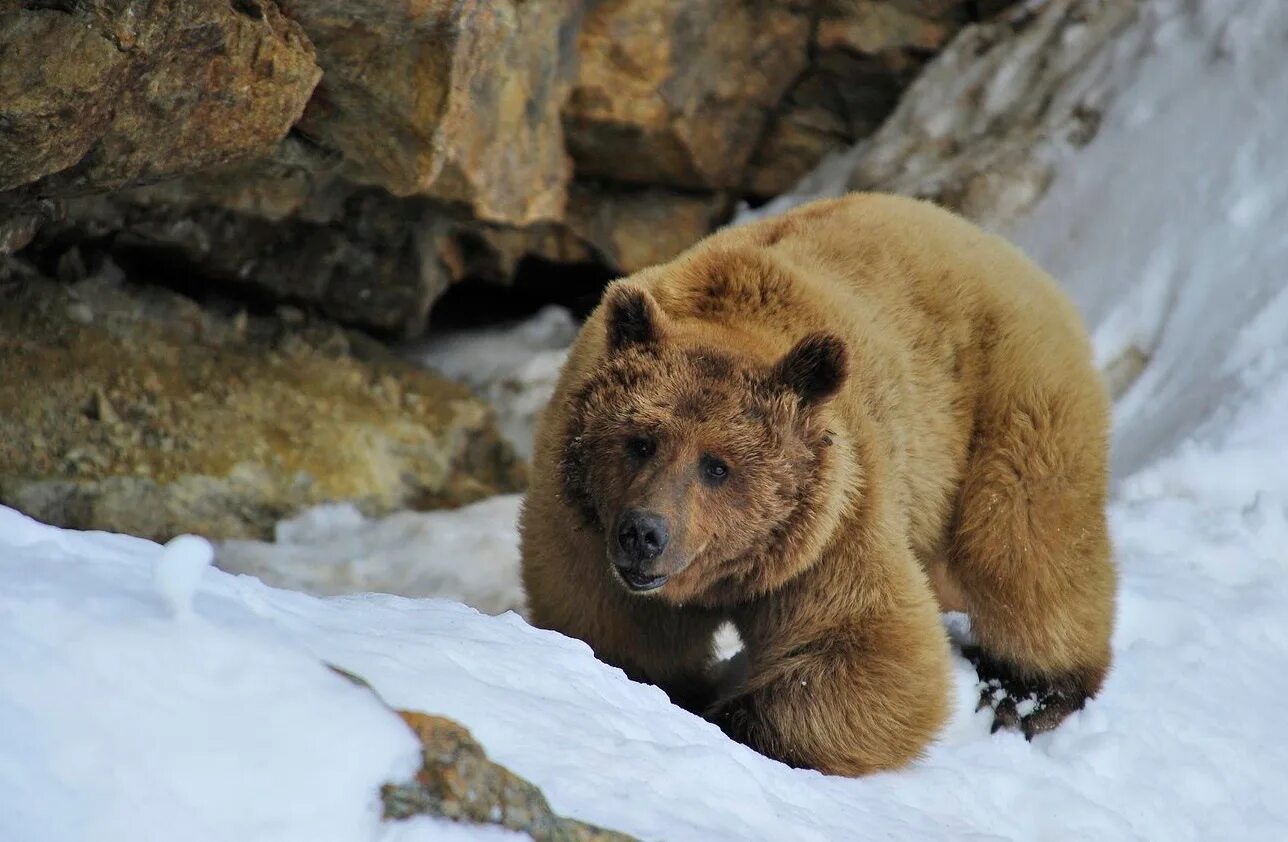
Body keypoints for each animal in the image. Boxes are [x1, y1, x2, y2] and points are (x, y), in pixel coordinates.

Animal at [517, 191, 1112, 777]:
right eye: (640, 440)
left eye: (717, 465)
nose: (644, 534)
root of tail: (1001, 246)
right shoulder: (584, 528)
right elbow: (617, 635)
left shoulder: (829, 524)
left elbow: (878, 649)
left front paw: (726, 714)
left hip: (1006, 396)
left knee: (1025, 538)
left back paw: (1026, 692)